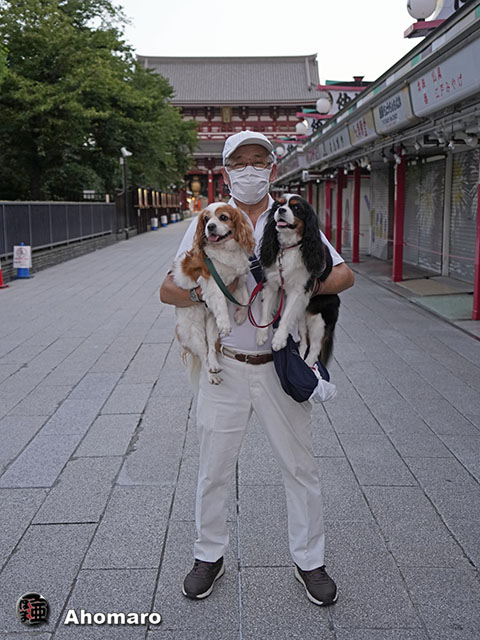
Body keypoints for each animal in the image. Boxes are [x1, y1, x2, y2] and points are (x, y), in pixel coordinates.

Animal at [172, 202, 255, 384]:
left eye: (223, 217)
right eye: (206, 219)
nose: (210, 227)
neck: (225, 249)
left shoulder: (237, 281)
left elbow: (246, 298)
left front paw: (240, 316)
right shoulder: (212, 282)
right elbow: (220, 303)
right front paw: (226, 323)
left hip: (211, 325)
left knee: (210, 348)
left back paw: (215, 366)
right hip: (194, 331)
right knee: (203, 354)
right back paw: (211, 375)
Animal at [257, 194, 340, 367]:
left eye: (296, 208)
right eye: (278, 205)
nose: (281, 210)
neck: (289, 247)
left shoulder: (298, 291)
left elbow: (286, 316)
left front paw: (279, 340)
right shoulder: (272, 284)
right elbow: (266, 309)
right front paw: (261, 333)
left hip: (319, 321)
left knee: (315, 347)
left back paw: (308, 365)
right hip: (302, 317)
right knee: (304, 342)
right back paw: (301, 358)